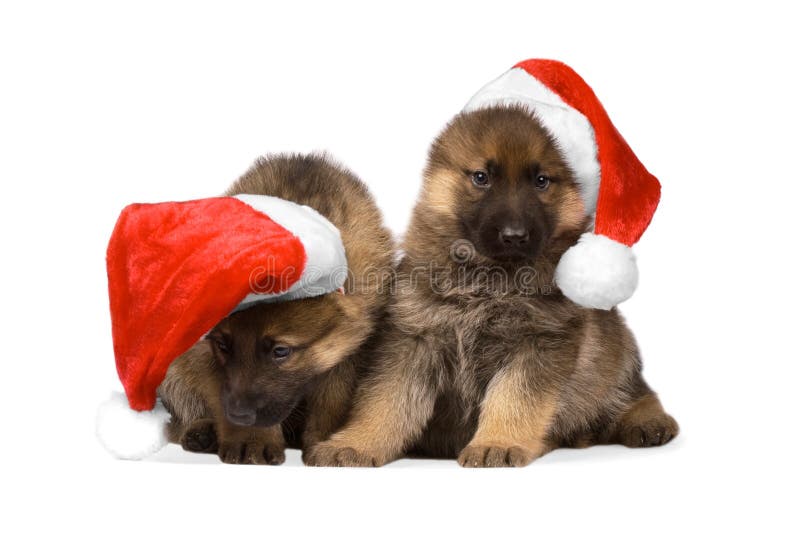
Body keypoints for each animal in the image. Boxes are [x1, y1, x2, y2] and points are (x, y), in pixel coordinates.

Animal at [157, 152, 394, 464]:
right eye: (223, 346)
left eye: (281, 351)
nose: (239, 415)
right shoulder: (204, 349)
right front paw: (252, 439)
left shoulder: (351, 349)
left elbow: (332, 400)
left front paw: (326, 441)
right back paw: (201, 432)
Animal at [310, 105, 680, 466]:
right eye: (481, 178)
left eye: (542, 181)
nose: (514, 236)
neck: (488, 280)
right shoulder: (414, 340)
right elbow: (385, 402)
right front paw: (357, 443)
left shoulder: (537, 344)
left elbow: (513, 399)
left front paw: (497, 443)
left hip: (618, 358)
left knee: (635, 393)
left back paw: (648, 421)